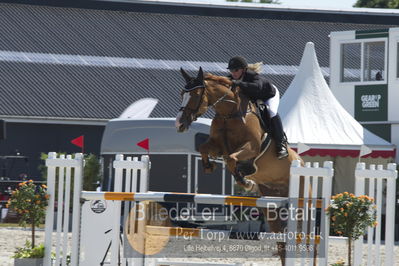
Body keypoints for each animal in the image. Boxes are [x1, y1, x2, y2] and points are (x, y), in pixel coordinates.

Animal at [175, 67, 304, 266]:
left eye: (195, 95)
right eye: (182, 93)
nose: (179, 123)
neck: (229, 113)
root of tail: (302, 162)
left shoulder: (251, 147)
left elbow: (231, 159)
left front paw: (246, 180)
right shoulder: (218, 144)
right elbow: (205, 148)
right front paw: (209, 166)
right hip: (271, 203)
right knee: (281, 238)